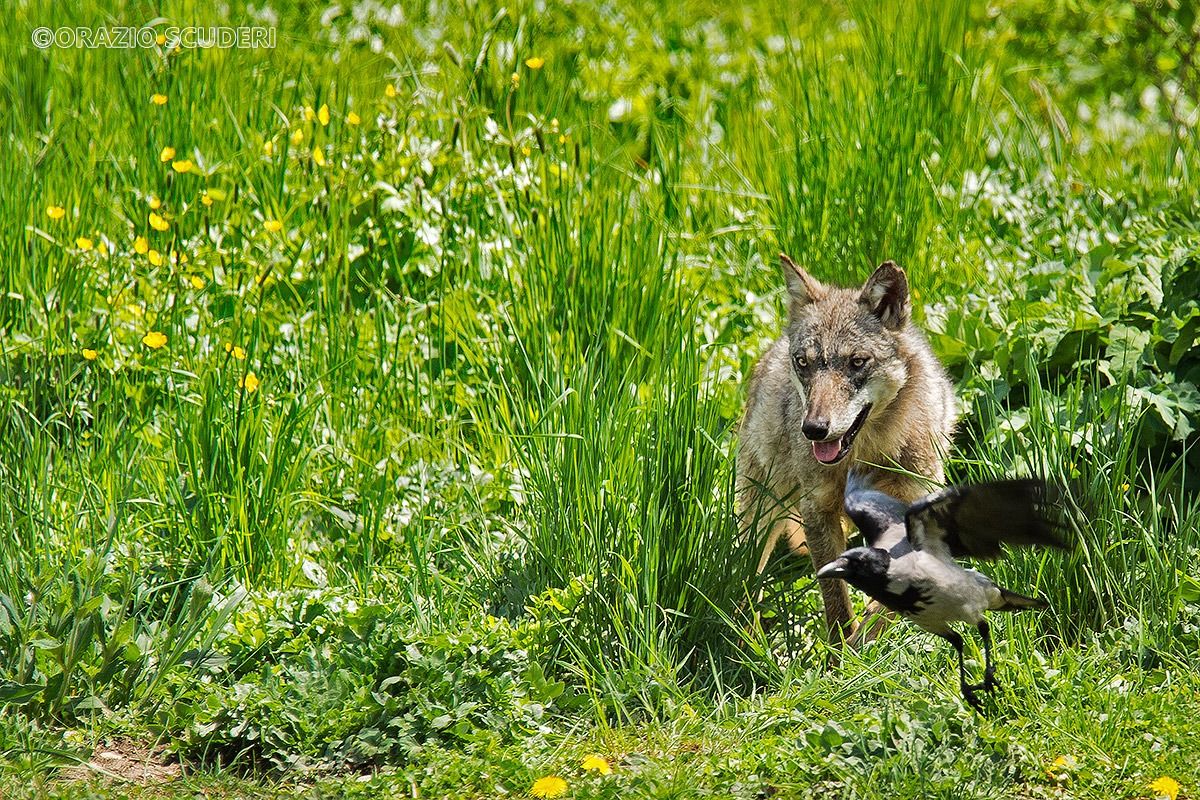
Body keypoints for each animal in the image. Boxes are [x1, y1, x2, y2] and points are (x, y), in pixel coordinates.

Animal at [739, 256, 955, 642]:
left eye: (857, 362)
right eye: (804, 362)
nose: (813, 429)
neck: (867, 454)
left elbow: (887, 598)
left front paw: (863, 640)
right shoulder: (817, 511)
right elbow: (836, 600)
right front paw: (841, 652)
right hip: (762, 514)